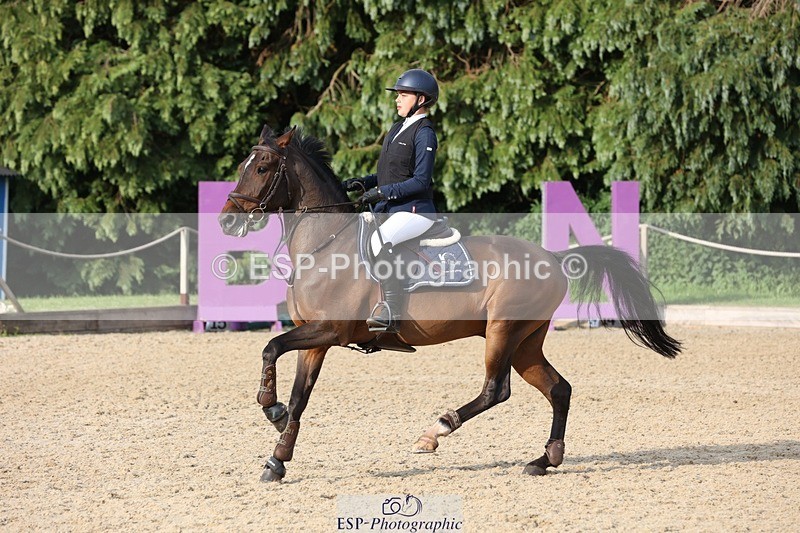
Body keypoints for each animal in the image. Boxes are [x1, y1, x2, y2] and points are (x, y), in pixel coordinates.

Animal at [217, 125, 681, 483]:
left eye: (261, 168)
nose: (227, 220)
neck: (325, 246)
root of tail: (552, 257)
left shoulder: (328, 330)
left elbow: (270, 347)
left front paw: (270, 406)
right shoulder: (314, 340)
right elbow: (299, 396)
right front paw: (277, 456)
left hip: (502, 332)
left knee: (496, 389)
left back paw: (435, 431)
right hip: (526, 342)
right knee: (558, 389)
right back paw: (544, 459)